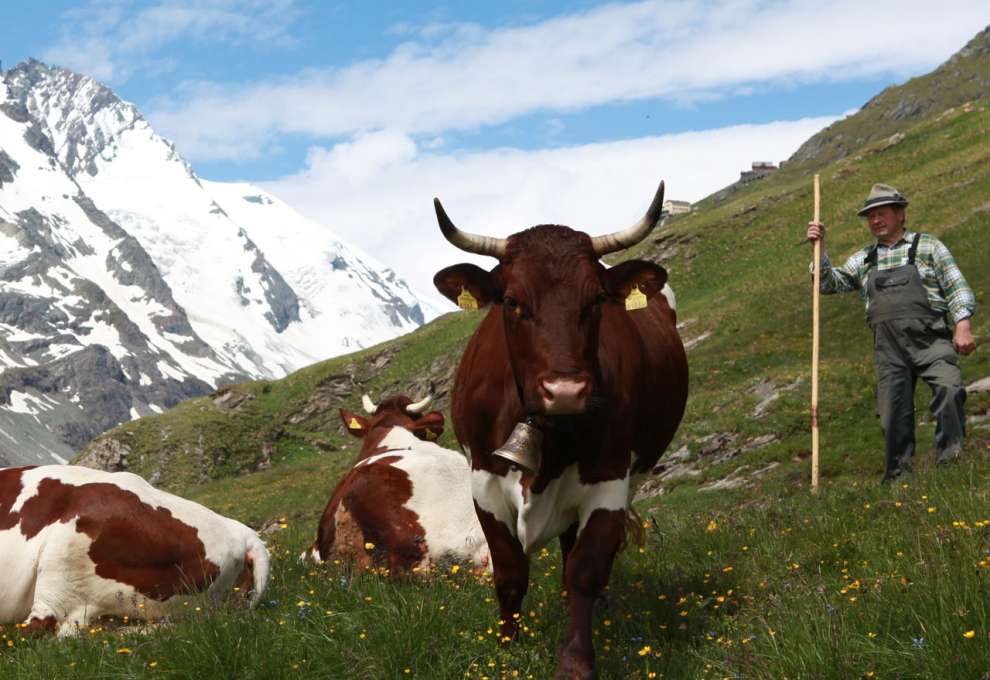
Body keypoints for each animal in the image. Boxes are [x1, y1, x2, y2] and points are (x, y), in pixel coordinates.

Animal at [434, 178, 688, 676]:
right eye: (512, 301)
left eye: (596, 300)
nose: (566, 390)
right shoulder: (484, 482)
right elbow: (509, 574)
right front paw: (506, 650)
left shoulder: (608, 479)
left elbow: (586, 568)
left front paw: (575, 661)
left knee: (576, 553)